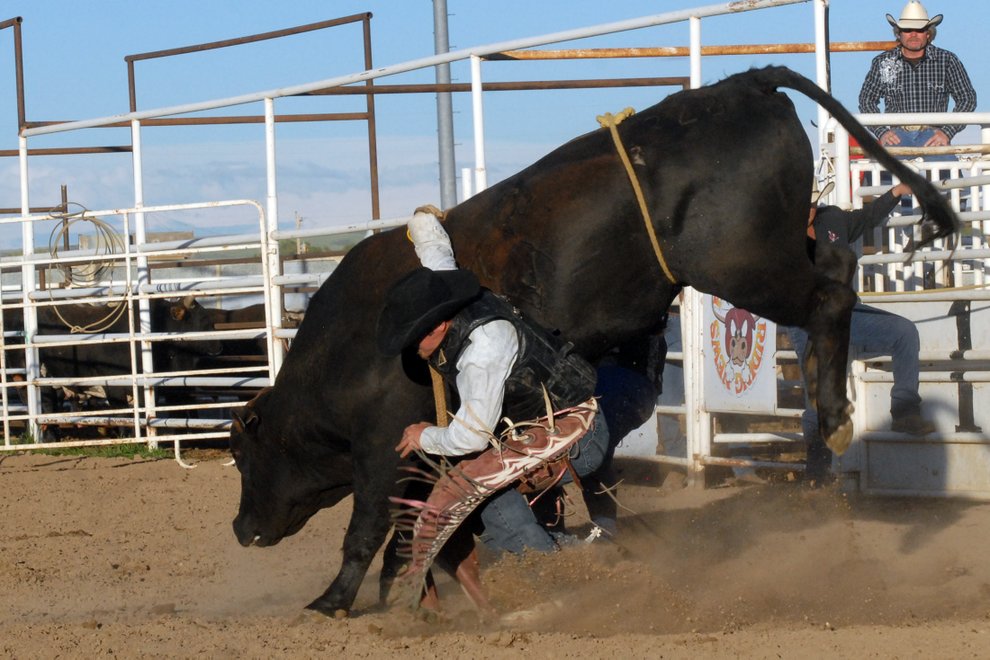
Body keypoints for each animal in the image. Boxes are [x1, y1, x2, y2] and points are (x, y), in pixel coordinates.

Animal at [229, 65, 956, 612]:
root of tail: (742, 85)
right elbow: (411, 528)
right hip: (778, 247)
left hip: (741, 264)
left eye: (242, 455)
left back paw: (833, 418)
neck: (353, 342)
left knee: (829, 299)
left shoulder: (384, 445)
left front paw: (333, 601)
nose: (240, 528)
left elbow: (369, 525)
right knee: (835, 258)